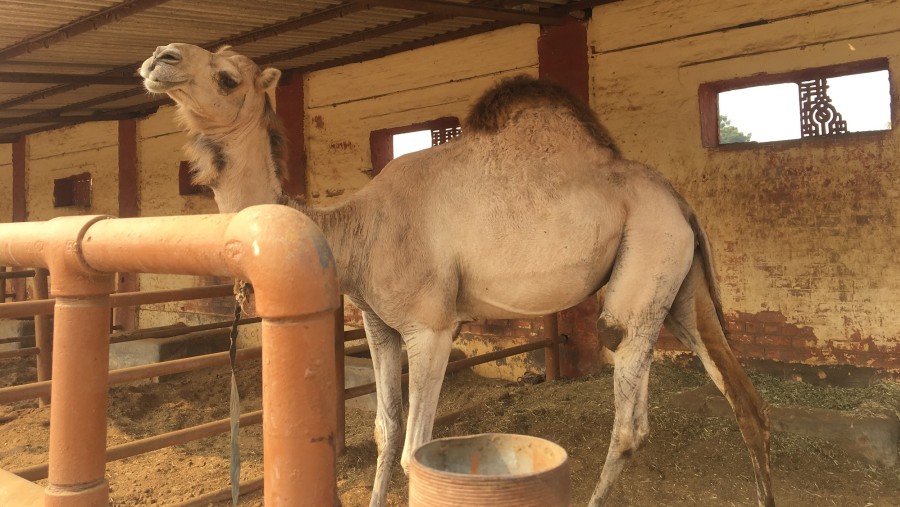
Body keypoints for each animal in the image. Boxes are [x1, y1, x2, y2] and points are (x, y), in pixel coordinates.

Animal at [139, 43, 772, 507]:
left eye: (227, 77)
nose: (160, 57)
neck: (353, 230)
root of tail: (679, 200)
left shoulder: (431, 326)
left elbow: (415, 449)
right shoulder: (378, 326)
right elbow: (384, 431)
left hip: (645, 271)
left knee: (631, 417)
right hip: (680, 285)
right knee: (742, 397)